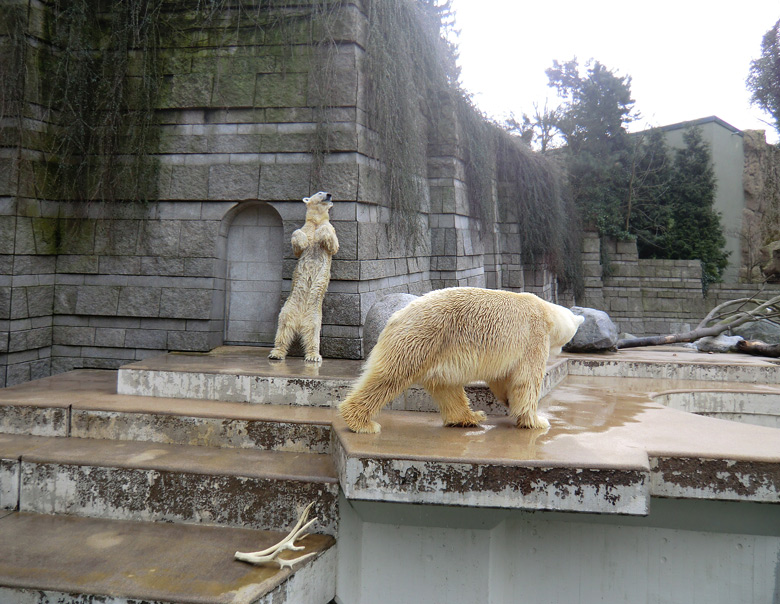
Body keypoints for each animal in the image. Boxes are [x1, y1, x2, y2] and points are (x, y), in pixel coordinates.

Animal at [268, 192, 338, 364]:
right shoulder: (306, 228)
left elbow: (333, 245)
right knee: (283, 329)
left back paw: (313, 356)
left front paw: (321, 233)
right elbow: (297, 242)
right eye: (319, 192)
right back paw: (276, 353)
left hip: (314, 317)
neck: (316, 220)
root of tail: (299, 322)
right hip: (288, 310)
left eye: (326, 192)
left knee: (312, 334)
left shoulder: (331, 230)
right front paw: (302, 239)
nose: (329, 194)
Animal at [338, 288, 580, 434]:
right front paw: (537, 421)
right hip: (421, 337)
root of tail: (395, 317)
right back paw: (362, 422)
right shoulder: (532, 337)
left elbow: (502, 377)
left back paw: (470, 416)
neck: (545, 311)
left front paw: (508, 401)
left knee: (446, 386)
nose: (560, 351)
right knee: (390, 375)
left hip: (438, 347)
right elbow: (526, 380)